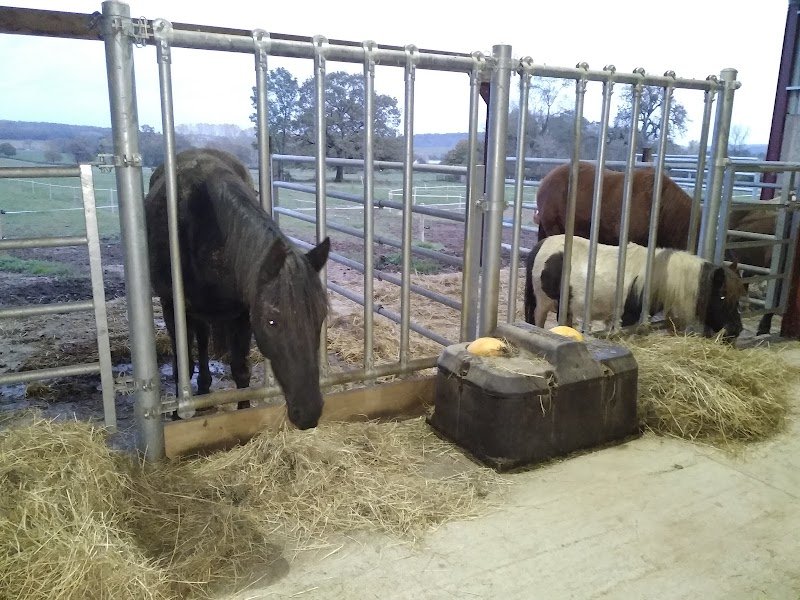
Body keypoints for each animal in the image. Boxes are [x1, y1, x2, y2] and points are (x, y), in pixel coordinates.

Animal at [145, 148, 330, 429]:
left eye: (320, 317)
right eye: (272, 321)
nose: (309, 413)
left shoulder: (242, 314)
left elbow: (240, 370)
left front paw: (243, 412)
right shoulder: (171, 307)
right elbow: (183, 366)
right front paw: (178, 414)